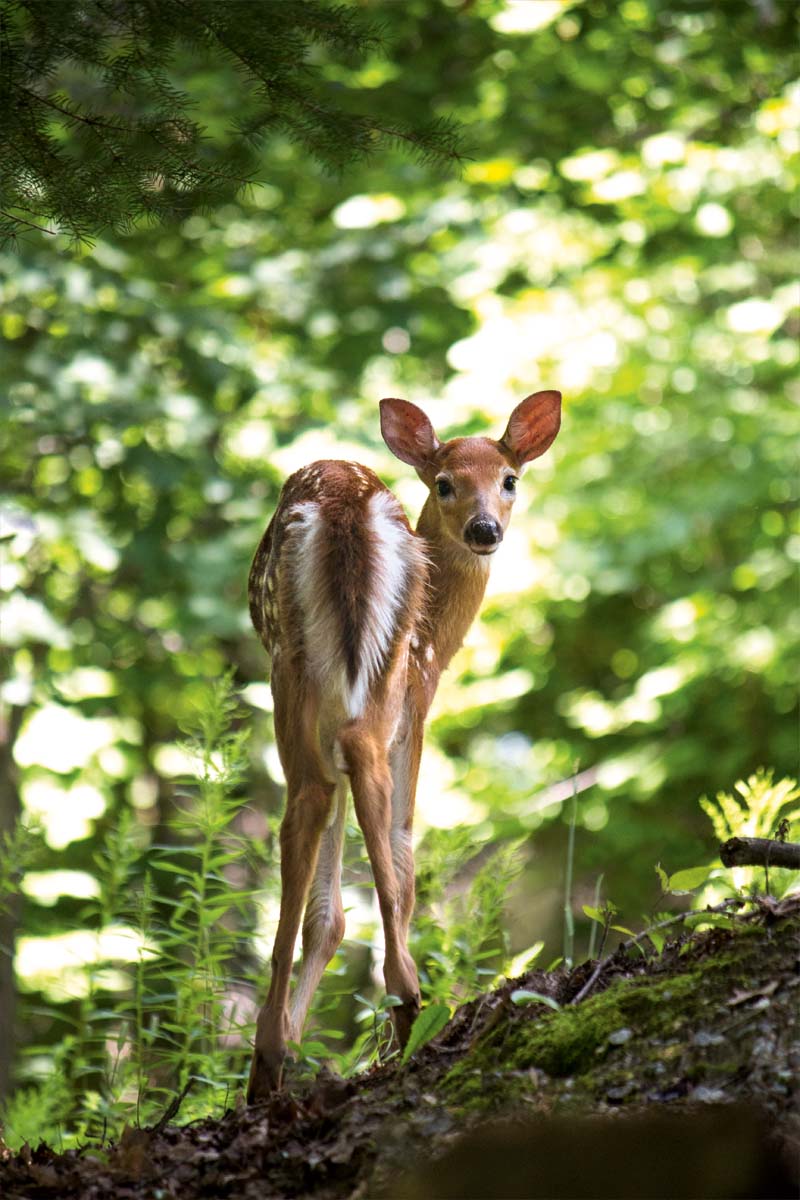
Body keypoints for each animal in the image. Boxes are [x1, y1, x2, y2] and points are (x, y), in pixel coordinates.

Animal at [246, 390, 561, 1102]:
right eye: (444, 482)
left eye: (510, 479)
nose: (484, 529)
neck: (443, 639)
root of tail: (346, 510)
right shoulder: (417, 699)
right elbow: (402, 853)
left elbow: (331, 913)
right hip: (337, 678)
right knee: (345, 798)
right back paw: (386, 1010)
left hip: (310, 681)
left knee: (314, 805)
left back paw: (283, 1052)